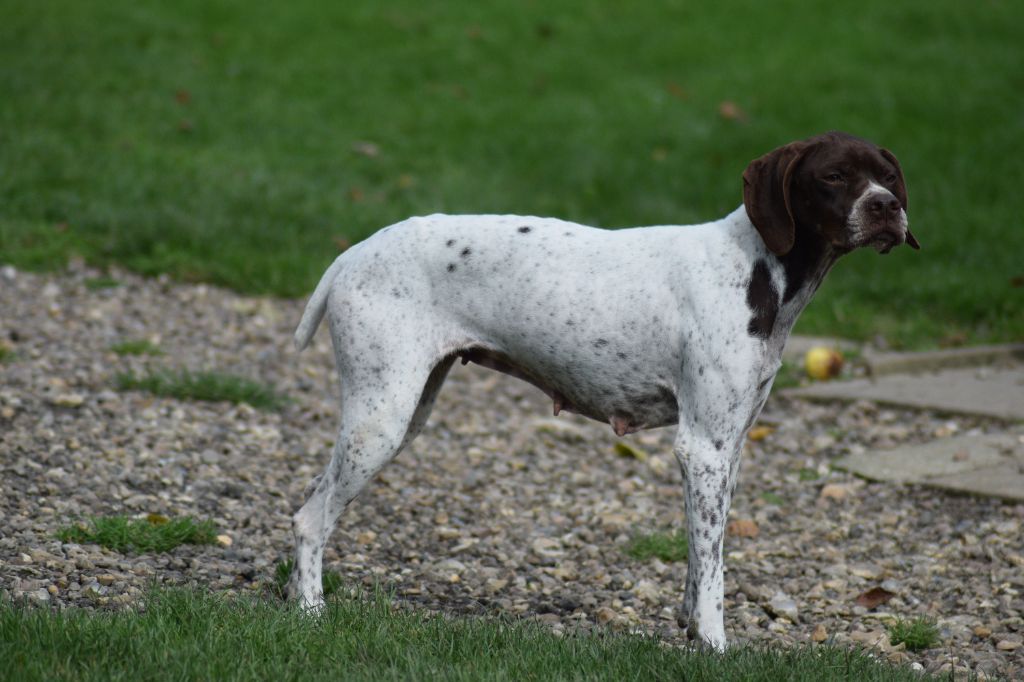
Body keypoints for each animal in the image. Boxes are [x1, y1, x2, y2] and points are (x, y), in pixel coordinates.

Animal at [288, 130, 921, 647]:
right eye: (833, 176)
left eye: (888, 176)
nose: (886, 207)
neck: (757, 270)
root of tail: (353, 253)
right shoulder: (703, 448)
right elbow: (714, 566)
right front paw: (714, 644)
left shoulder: (726, 450)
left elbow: (701, 557)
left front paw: (691, 625)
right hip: (381, 419)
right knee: (310, 518)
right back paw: (312, 614)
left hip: (404, 411)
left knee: (312, 501)